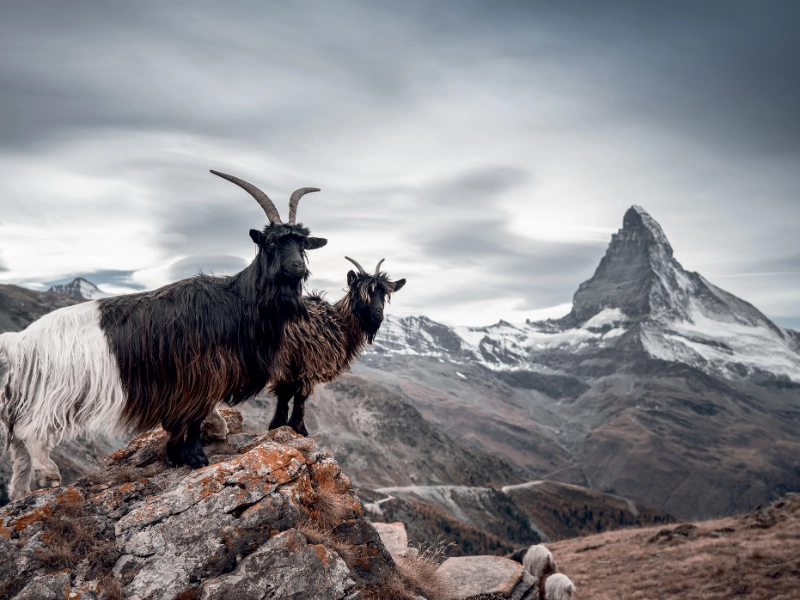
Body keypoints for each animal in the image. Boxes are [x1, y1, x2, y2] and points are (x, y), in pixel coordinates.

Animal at [0, 171, 326, 501]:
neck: (238, 301)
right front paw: (193, 456)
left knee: (19, 450)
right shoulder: (200, 373)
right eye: (272, 243)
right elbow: (194, 416)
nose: (297, 266)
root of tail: (18, 341)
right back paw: (49, 474)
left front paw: (213, 431)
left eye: (302, 244)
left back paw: (20, 492)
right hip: (56, 392)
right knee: (30, 432)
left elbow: (201, 410)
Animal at [204, 256, 405, 439]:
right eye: (361, 293)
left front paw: (278, 425)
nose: (378, 314)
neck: (338, 323)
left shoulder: (291, 366)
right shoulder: (308, 364)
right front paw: (299, 429)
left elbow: (285, 394)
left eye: (384, 295)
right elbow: (299, 397)